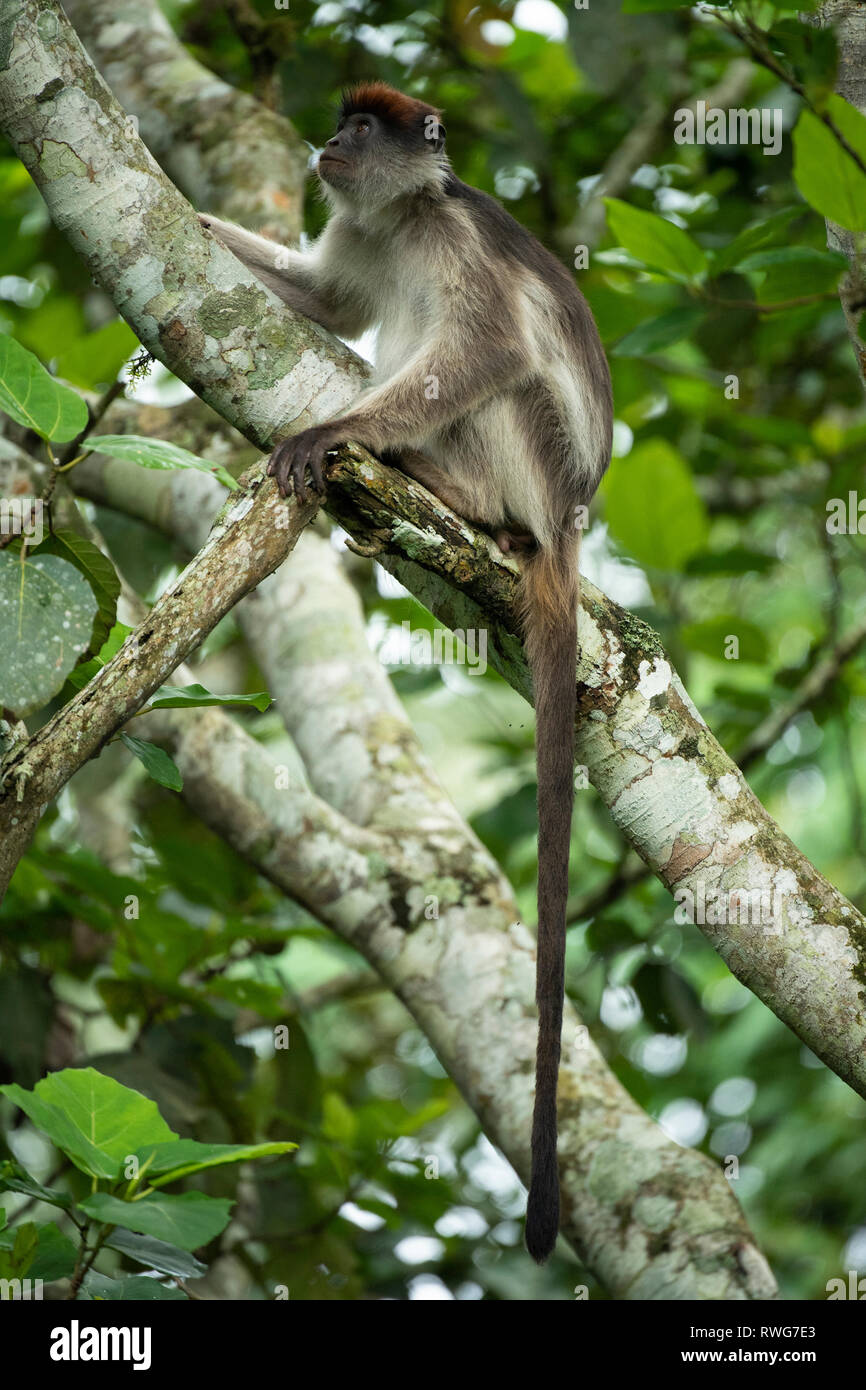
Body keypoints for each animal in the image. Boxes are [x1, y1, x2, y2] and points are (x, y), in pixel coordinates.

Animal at [200, 84, 614, 1262]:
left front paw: (334, 429)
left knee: (497, 377)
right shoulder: (357, 235)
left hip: (537, 460)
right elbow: (325, 299)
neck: (401, 219)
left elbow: (486, 352)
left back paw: (447, 487)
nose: (328, 143)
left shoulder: (454, 238)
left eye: (368, 128)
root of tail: (567, 526)